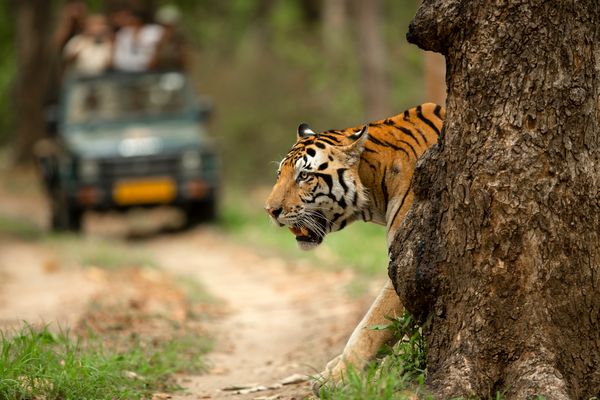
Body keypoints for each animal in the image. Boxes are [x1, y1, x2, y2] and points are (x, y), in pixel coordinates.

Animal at [264, 103, 446, 390]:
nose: (270, 210)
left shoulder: (408, 261)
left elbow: (371, 325)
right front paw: (334, 369)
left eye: (304, 175)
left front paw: (339, 377)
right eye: (279, 174)